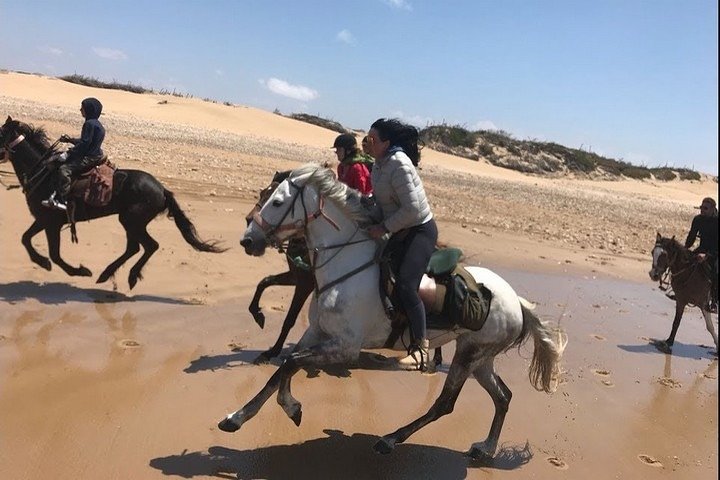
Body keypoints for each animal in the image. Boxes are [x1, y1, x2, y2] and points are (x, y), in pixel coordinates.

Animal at [0, 116, 226, 289]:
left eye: (0, 133)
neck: (43, 172)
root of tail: (162, 189)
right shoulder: (42, 220)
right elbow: (25, 239)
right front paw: (43, 262)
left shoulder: (51, 223)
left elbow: (54, 254)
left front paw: (77, 270)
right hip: (131, 222)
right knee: (135, 248)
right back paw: (108, 274)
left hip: (132, 220)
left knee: (149, 246)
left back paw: (128, 276)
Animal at [244, 170, 445, 366]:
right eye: (262, 193)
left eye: (276, 201)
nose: (248, 239)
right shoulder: (296, 276)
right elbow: (265, 282)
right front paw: (258, 316)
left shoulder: (304, 283)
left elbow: (289, 319)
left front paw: (271, 352)